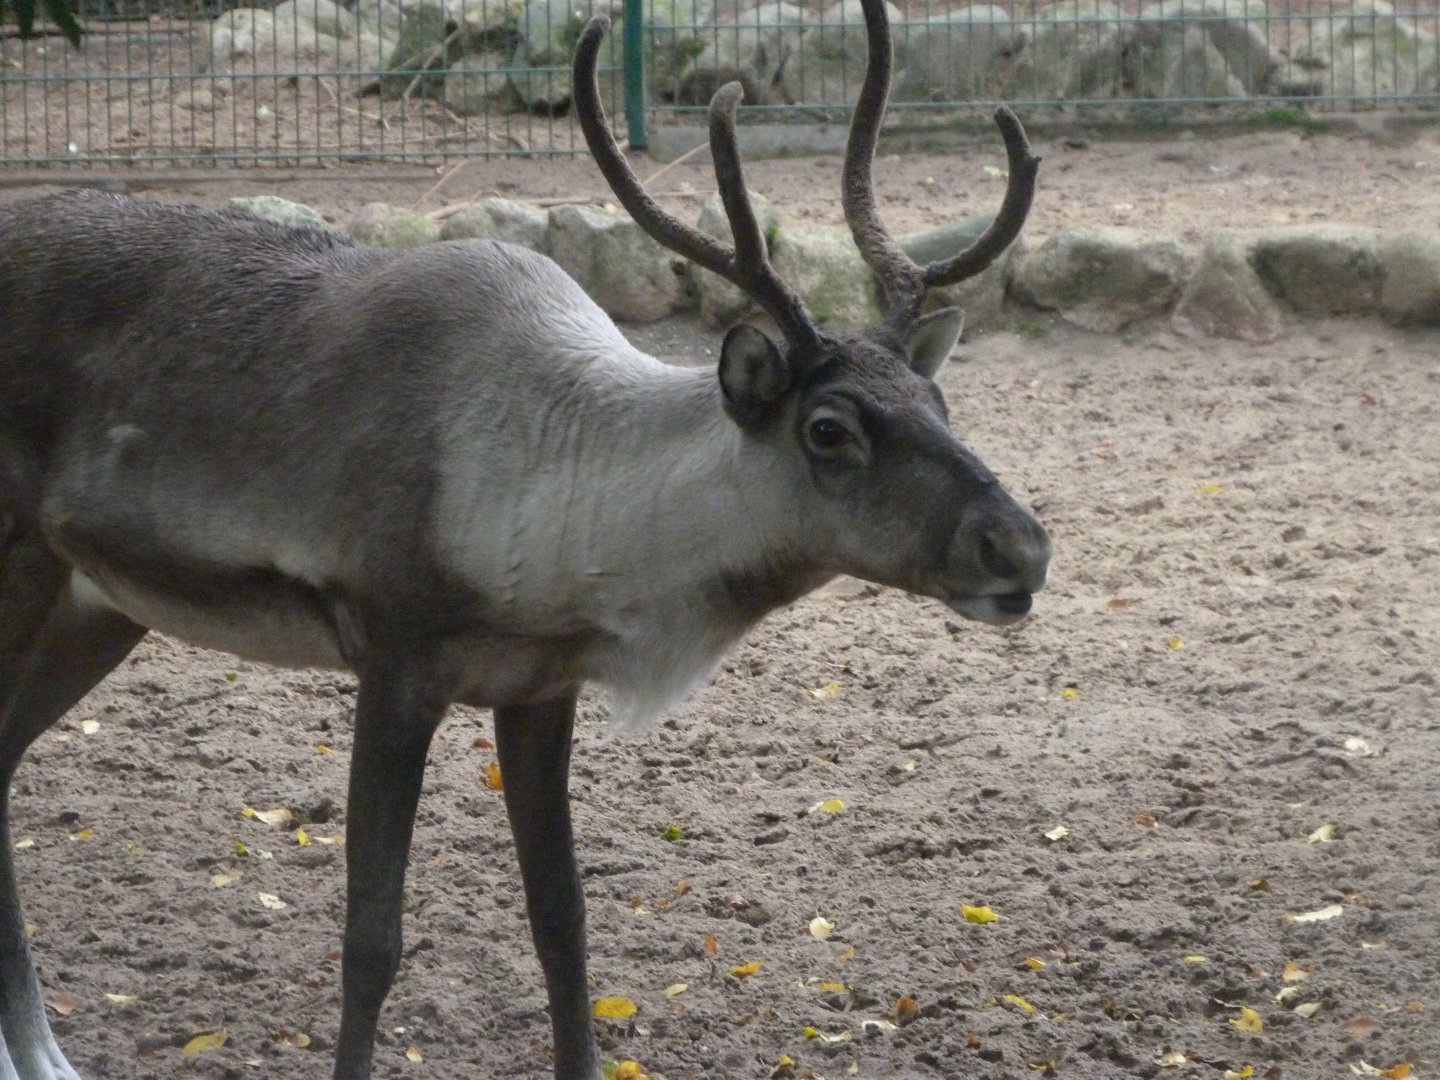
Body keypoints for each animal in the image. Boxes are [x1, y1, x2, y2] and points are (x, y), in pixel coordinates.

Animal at [0, 0, 1048, 1075]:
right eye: (828, 429)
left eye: (936, 399)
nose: (1019, 547)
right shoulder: (397, 663)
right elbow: (371, 938)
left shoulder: (540, 692)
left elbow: (563, 923)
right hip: (23, 562)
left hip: (100, 607)